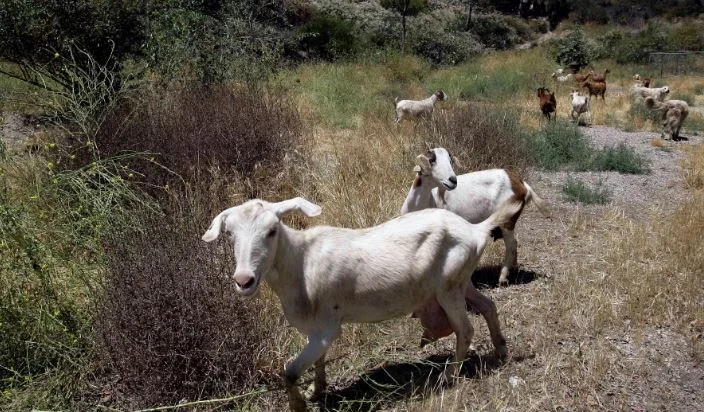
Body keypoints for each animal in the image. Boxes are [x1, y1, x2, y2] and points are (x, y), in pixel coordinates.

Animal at [203, 196, 523, 412]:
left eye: (272, 231)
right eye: (230, 234)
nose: (243, 280)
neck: (300, 262)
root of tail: (476, 230)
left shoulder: (328, 328)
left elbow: (289, 372)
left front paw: (299, 405)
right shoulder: (317, 330)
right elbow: (318, 361)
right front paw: (316, 391)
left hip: (449, 287)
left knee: (465, 330)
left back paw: (449, 377)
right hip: (462, 281)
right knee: (488, 306)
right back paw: (501, 350)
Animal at [400, 149, 551, 347]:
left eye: (450, 161)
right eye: (432, 160)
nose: (452, 180)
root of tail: (519, 182)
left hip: (507, 220)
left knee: (512, 246)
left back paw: (503, 278)